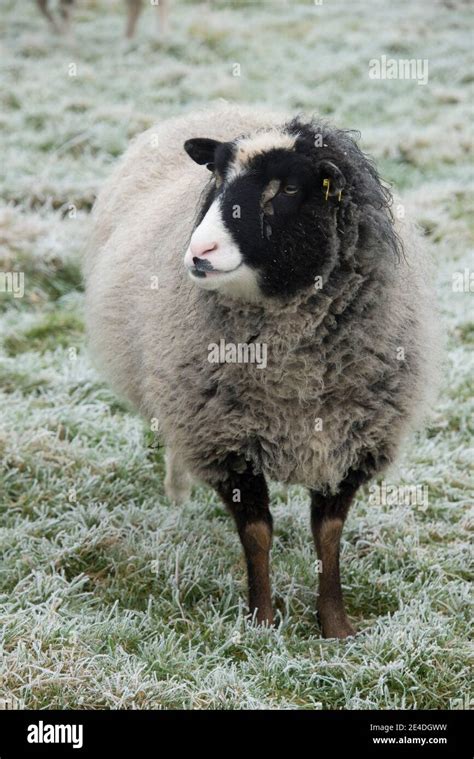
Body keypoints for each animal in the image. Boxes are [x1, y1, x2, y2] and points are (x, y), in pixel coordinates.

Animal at [83, 104, 438, 640]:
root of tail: (221, 106)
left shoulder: (354, 439)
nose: (199, 253)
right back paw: (177, 494)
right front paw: (262, 622)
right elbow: (256, 533)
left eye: (287, 189)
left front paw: (336, 626)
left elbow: (328, 533)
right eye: (216, 177)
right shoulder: (223, 439)